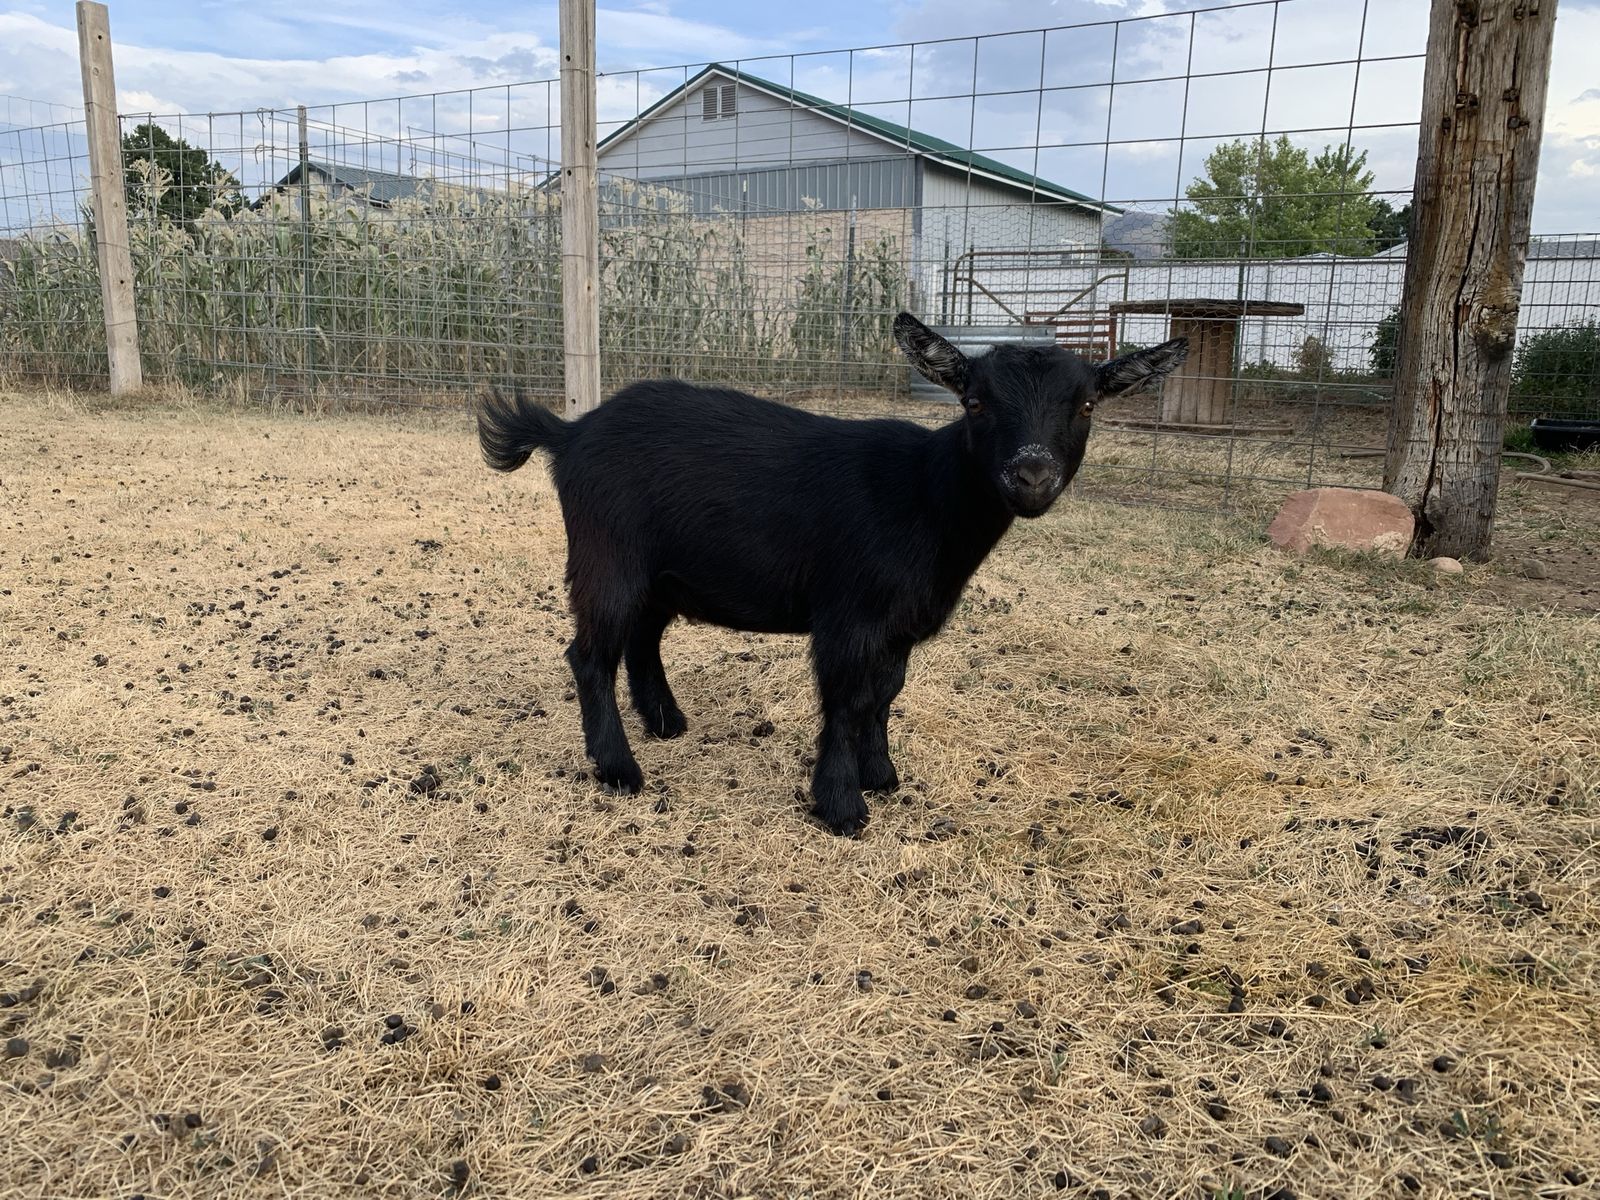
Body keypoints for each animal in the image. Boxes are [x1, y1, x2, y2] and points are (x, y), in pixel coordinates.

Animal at [478, 313, 1186, 835]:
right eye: (975, 402)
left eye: (1087, 404)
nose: (1031, 475)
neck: (927, 496)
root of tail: (569, 433)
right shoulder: (850, 614)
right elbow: (846, 700)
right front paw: (842, 808)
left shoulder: (900, 624)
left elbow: (884, 694)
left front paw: (882, 775)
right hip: (609, 556)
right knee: (590, 654)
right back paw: (619, 769)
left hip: (661, 571)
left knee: (642, 638)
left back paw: (665, 722)